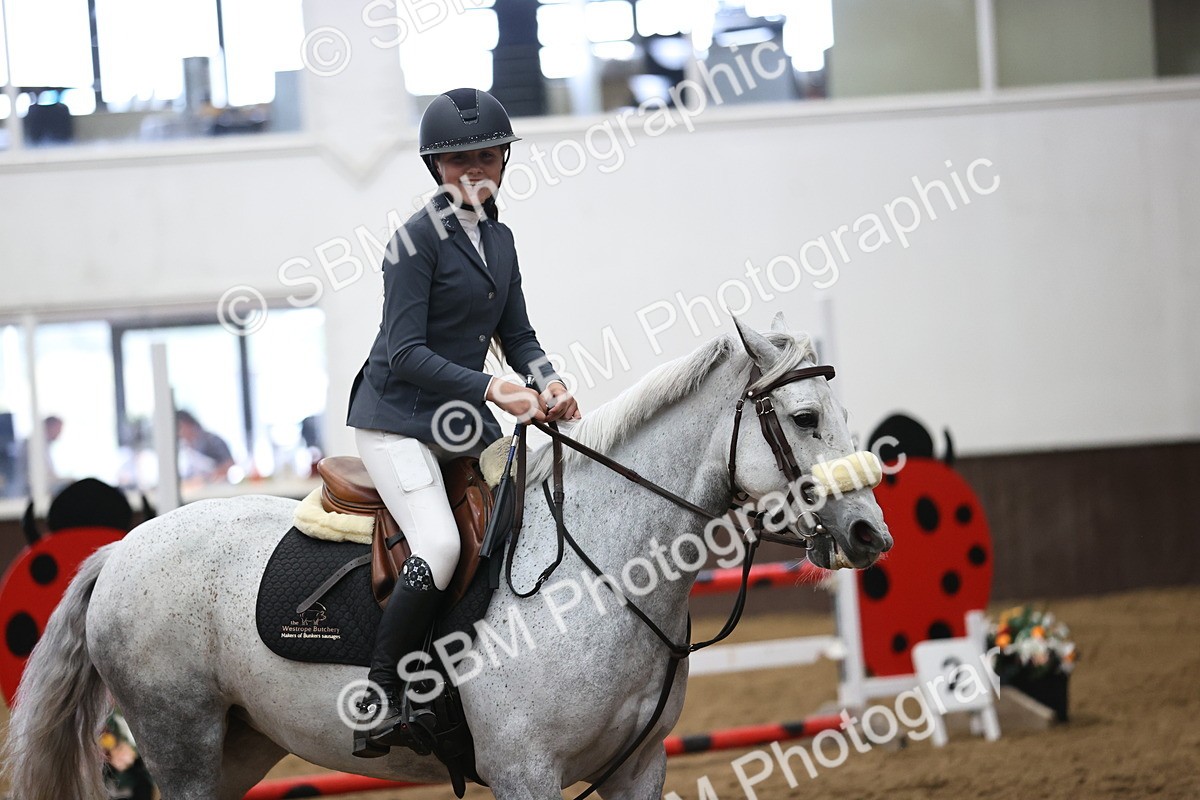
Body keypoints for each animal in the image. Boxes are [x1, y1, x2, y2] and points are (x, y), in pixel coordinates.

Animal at [2, 316, 892, 800]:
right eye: (805, 417)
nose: (870, 536)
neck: (601, 573)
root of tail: (122, 548)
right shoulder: (526, 771)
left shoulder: (638, 768)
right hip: (179, 740)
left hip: (235, 746)